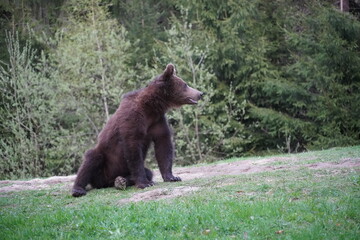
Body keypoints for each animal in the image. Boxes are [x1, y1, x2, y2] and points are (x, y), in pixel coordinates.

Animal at [71, 63, 204, 197]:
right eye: (185, 84)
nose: (200, 93)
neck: (151, 106)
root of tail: (105, 181)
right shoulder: (132, 119)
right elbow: (133, 148)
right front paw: (145, 183)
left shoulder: (156, 121)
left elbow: (163, 144)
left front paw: (172, 177)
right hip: (103, 162)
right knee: (91, 159)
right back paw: (78, 189)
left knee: (148, 171)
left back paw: (121, 181)